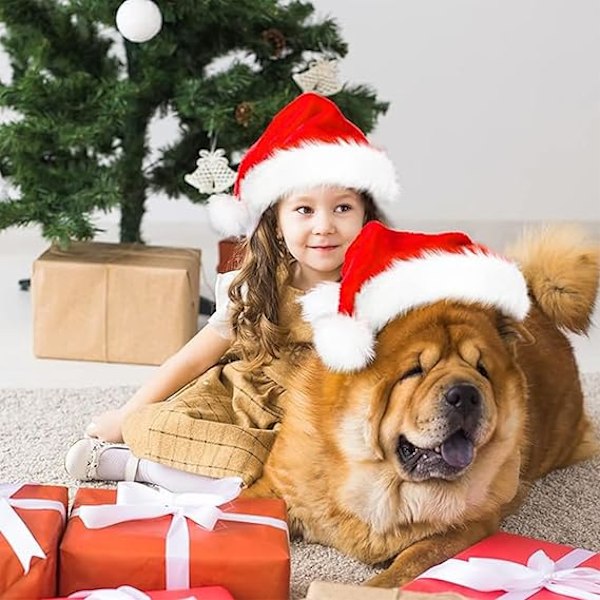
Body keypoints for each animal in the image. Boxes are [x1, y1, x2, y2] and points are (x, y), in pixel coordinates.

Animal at [241, 223, 596, 584]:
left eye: (482, 370)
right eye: (415, 370)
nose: (466, 394)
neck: (383, 483)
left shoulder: (466, 527)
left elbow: (411, 559)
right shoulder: (277, 487)